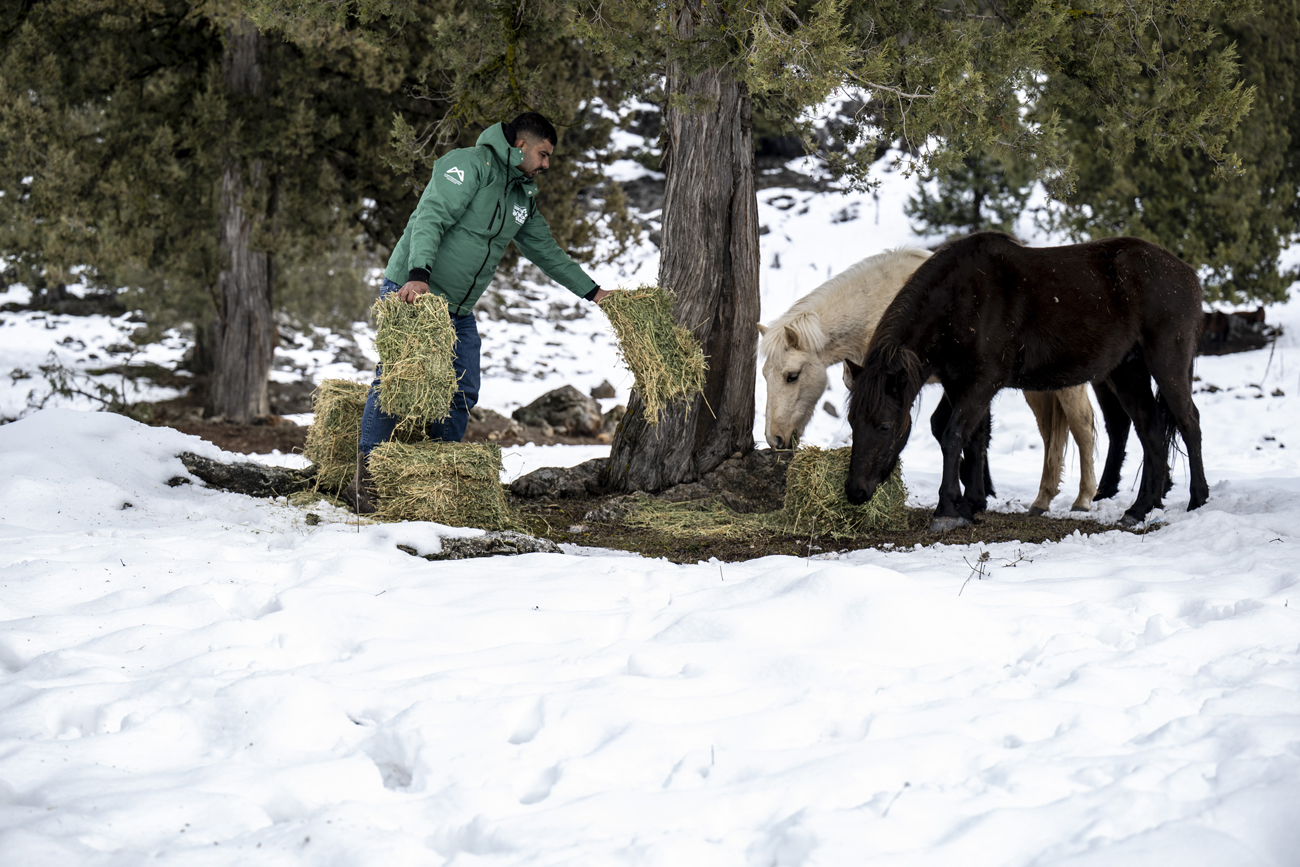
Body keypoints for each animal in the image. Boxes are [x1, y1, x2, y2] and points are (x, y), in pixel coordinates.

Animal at [759, 247, 1098, 515]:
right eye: (764, 375)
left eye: (792, 376)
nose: (775, 439)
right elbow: (956, 429)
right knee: (1051, 434)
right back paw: (1043, 498)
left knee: (1081, 425)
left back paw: (1083, 498)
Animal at [845, 232, 1208, 531]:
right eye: (852, 422)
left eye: (885, 426)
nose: (855, 492)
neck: (961, 299)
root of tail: (1187, 273)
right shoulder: (957, 384)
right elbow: (967, 438)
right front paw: (969, 505)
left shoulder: (982, 384)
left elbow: (953, 435)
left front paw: (947, 510)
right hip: (1127, 372)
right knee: (1151, 431)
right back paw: (1139, 509)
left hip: (1166, 362)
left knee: (1188, 422)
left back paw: (1197, 499)